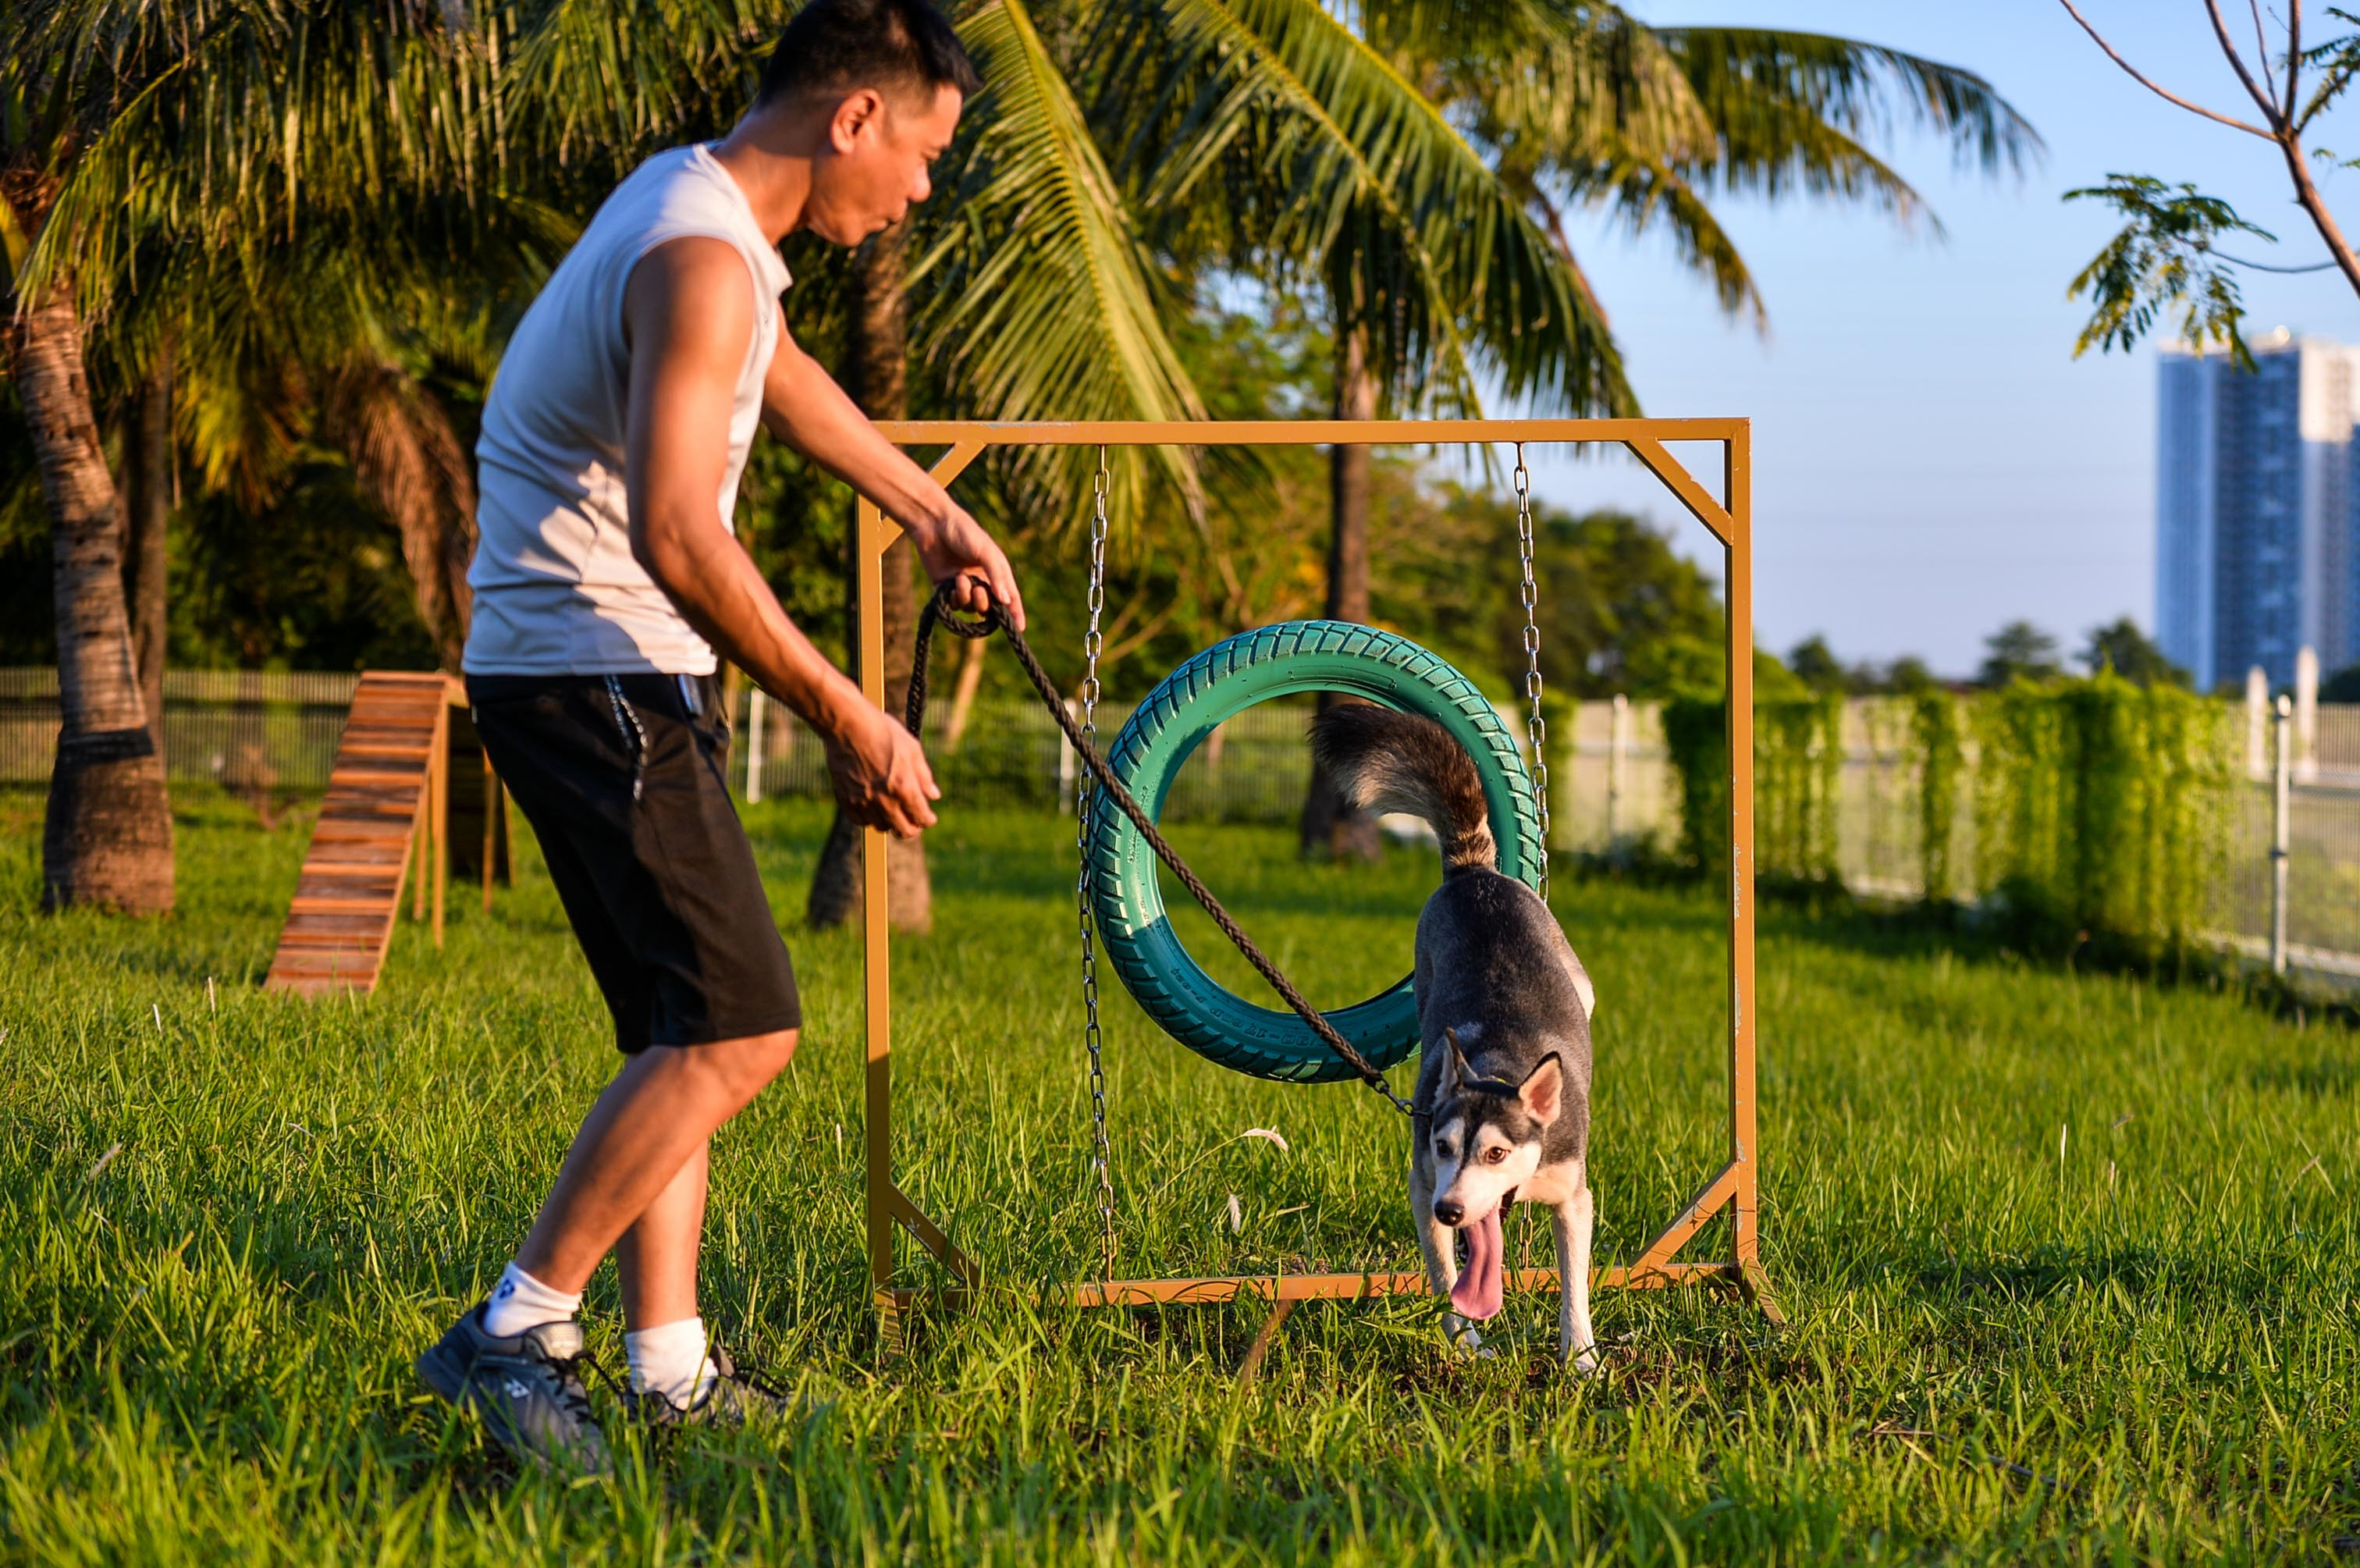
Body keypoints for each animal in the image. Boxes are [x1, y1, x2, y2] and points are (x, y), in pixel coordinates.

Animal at [1312, 703, 1605, 1369]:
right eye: (1445, 1146)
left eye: (1495, 1153)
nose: (1453, 1207)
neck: (1498, 1063)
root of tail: (1476, 873)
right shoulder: (1424, 1184)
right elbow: (1448, 1275)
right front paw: (1466, 1342)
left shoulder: (1572, 1193)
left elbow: (1575, 1280)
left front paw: (1580, 1355)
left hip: (1573, 966)